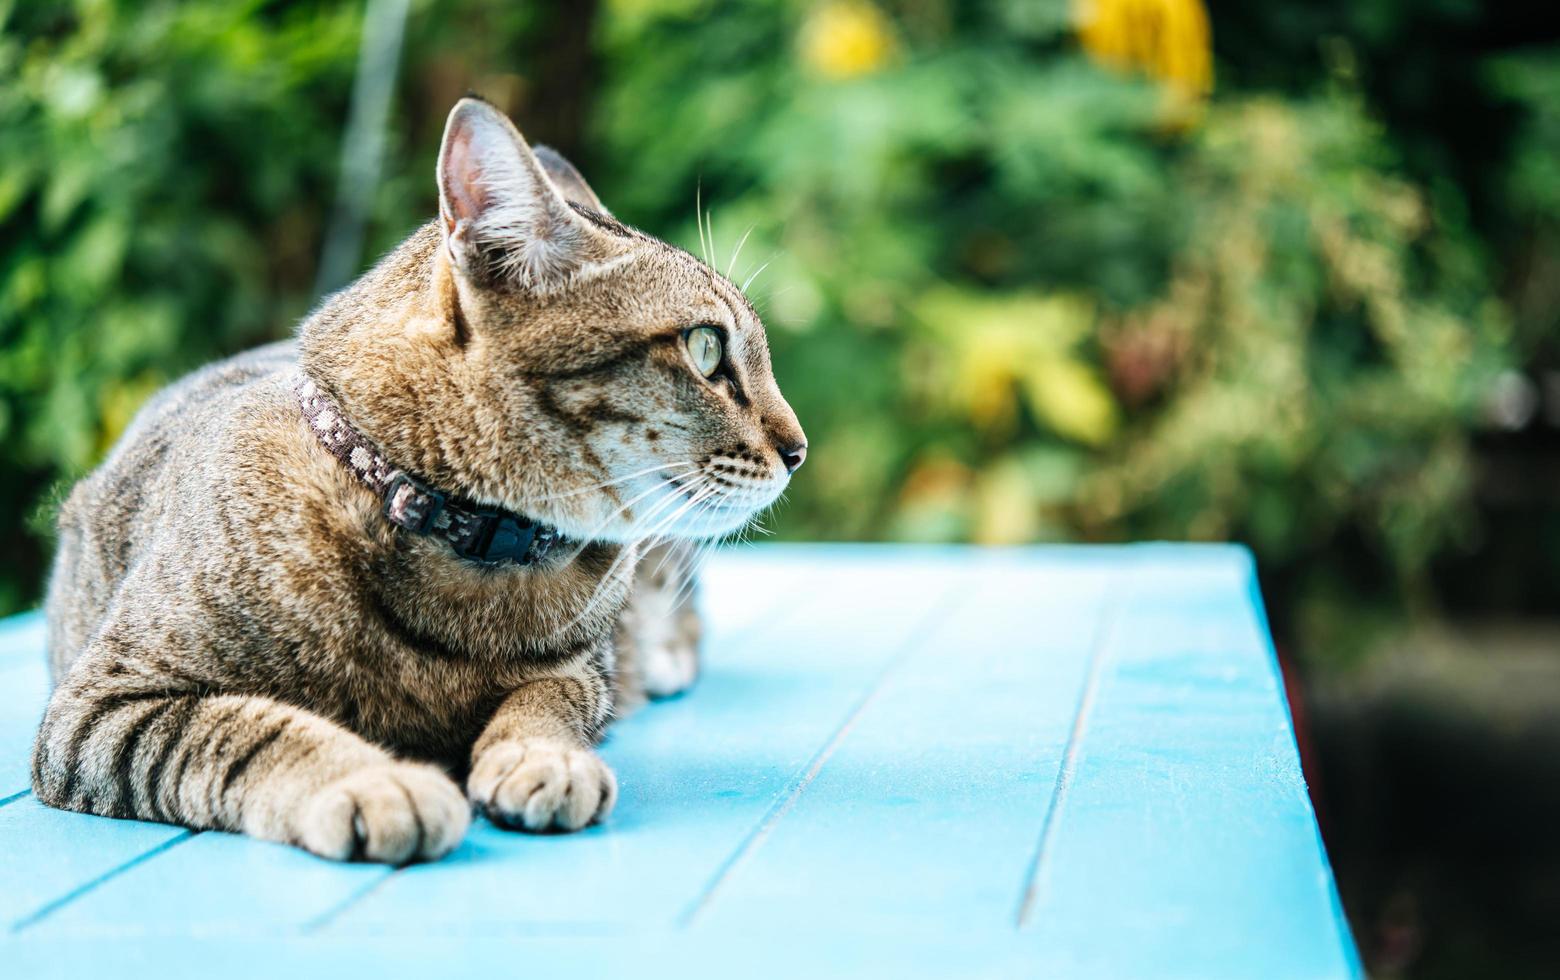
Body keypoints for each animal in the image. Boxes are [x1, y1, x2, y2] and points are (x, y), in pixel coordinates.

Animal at [30, 99, 804, 861]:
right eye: (706, 349)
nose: (798, 449)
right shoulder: (101, 708)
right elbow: (255, 731)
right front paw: (376, 782)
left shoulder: (584, 670)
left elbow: (548, 702)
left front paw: (544, 757)